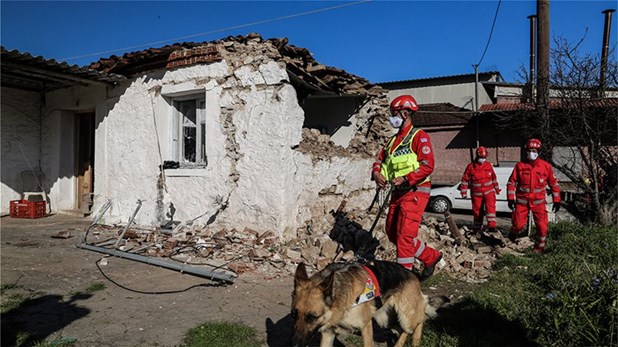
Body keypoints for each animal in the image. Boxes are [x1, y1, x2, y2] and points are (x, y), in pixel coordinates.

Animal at [292, 260, 446, 347]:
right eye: (294, 314)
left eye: (312, 317)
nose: (294, 344)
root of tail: (413, 274)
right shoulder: (328, 333)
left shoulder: (366, 326)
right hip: (384, 319)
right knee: (402, 330)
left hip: (406, 318)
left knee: (420, 320)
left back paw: (416, 340)